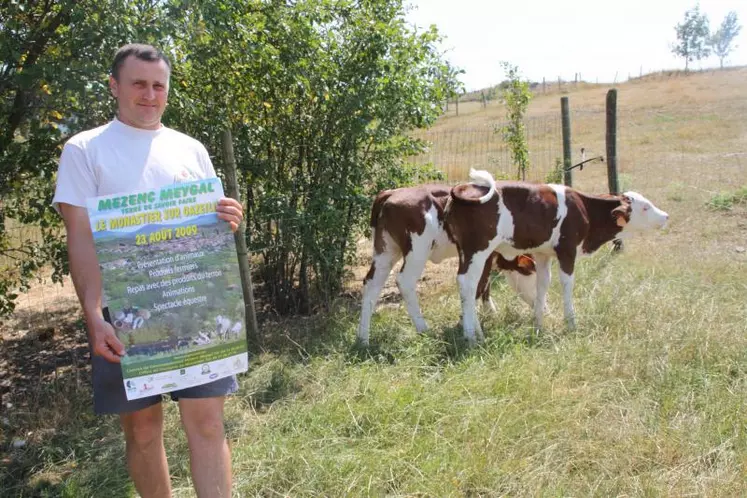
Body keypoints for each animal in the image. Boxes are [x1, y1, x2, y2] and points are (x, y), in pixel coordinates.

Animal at [358, 184, 536, 346]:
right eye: (531, 272)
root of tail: (391, 192)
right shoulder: (482, 253)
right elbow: (480, 285)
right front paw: (469, 322)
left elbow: (485, 285)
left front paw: (490, 312)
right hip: (417, 249)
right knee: (405, 281)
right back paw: (424, 329)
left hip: (385, 250)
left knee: (372, 284)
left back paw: (363, 340)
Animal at [444, 169, 672, 344]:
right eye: (645, 207)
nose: (666, 216)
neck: (584, 209)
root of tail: (464, 188)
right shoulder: (567, 251)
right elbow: (567, 283)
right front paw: (571, 323)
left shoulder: (543, 254)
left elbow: (543, 284)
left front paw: (538, 324)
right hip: (478, 250)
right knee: (468, 283)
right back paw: (471, 337)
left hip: (472, 253)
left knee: (475, 285)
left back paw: (476, 332)